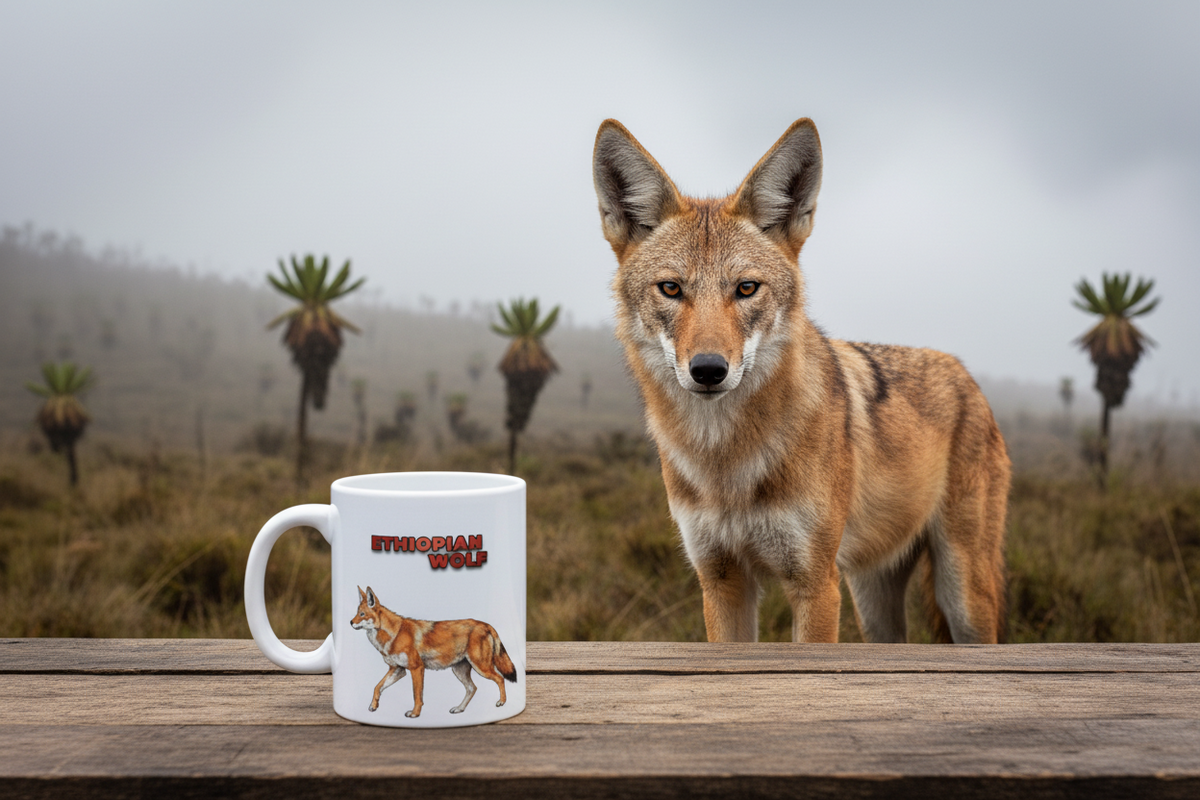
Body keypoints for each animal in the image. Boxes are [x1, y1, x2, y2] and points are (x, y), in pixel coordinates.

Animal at [350, 586, 517, 716]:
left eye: (362, 614)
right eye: (357, 613)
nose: (350, 622)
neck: (394, 634)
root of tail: (486, 625)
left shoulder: (417, 668)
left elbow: (417, 695)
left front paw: (414, 714)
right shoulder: (398, 669)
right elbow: (377, 687)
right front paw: (373, 705)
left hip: (481, 667)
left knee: (500, 678)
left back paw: (502, 702)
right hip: (460, 671)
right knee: (472, 688)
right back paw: (459, 709)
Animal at [591, 118, 1010, 644]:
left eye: (746, 288)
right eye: (671, 288)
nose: (708, 369)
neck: (725, 461)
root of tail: (963, 371)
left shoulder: (815, 583)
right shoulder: (721, 582)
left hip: (963, 595)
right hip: (873, 601)